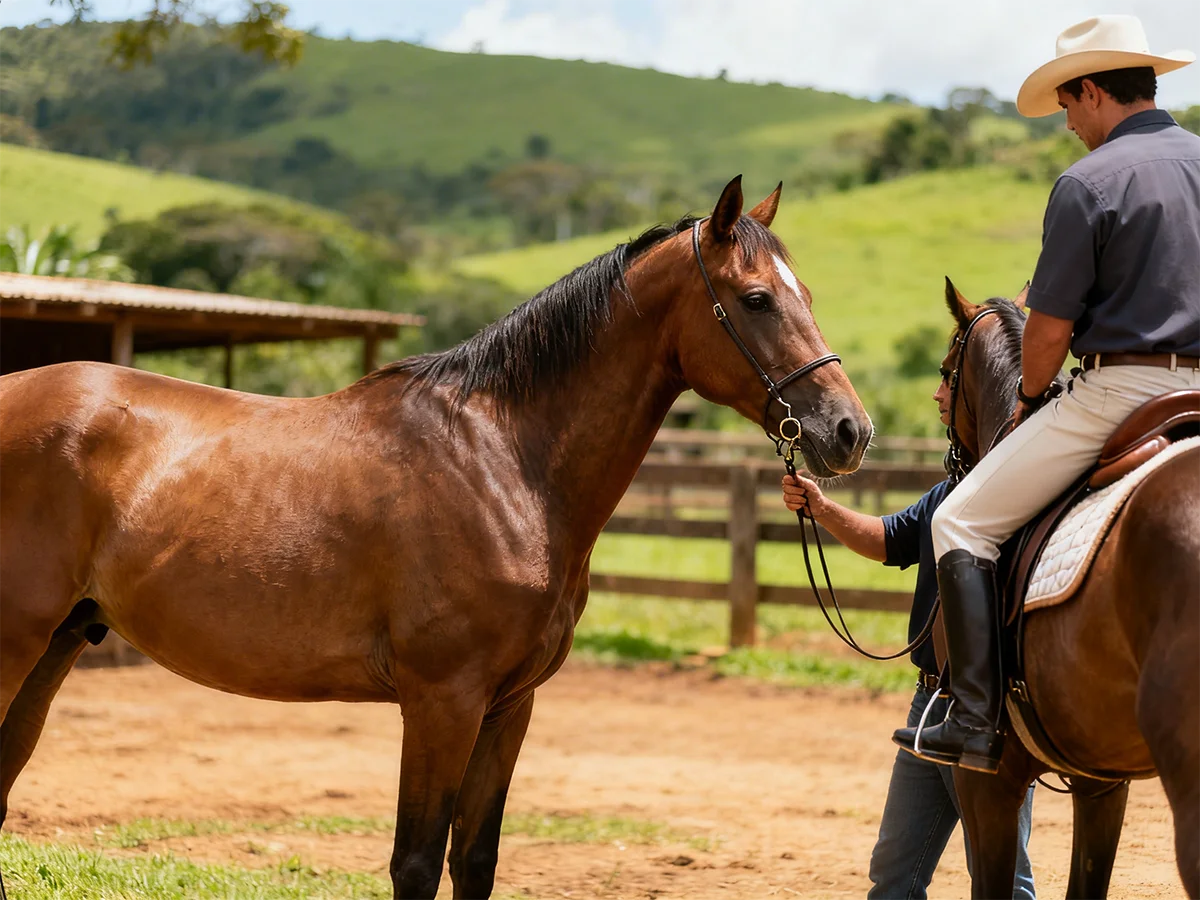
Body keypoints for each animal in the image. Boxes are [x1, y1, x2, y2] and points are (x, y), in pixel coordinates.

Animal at [0, 176, 873, 900]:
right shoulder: (442, 702)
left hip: (58, 644)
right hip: (19, 643)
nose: (848, 430)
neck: (502, 458)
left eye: (803, 292)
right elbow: (415, 865)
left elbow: (474, 861)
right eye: (756, 298)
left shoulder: (508, 706)